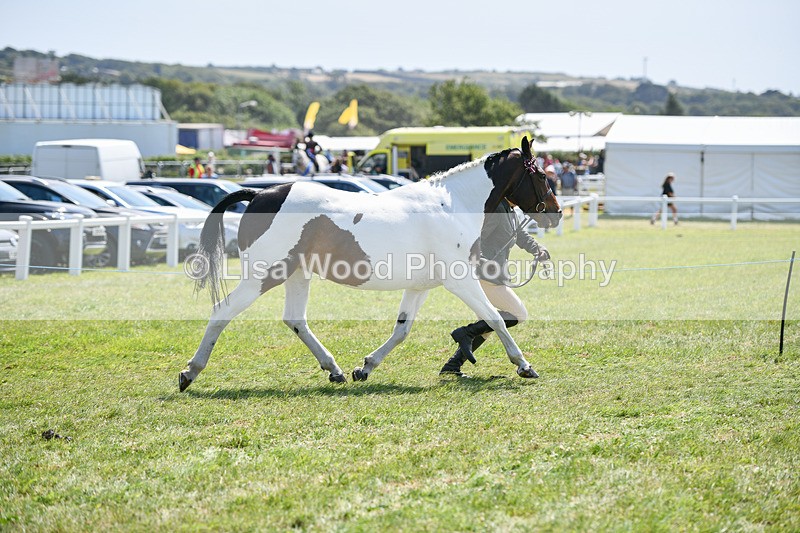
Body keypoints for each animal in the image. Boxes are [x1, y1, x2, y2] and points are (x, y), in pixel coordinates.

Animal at [180, 137, 561, 391]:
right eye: (542, 176)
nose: (556, 214)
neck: (450, 205)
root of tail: (260, 194)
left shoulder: (420, 286)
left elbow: (402, 329)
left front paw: (365, 368)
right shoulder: (460, 280)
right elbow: (495, 318)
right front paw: (524, 366)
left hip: (297, 273)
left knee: (295, 320)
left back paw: (334, 370)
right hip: (263, 275)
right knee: (222, 312)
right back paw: (189, 372)